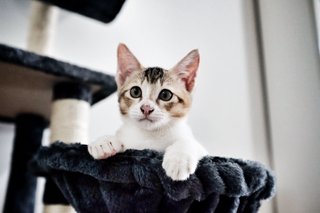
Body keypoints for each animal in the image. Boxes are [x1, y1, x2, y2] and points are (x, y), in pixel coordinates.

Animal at [87, 44, 208, 181]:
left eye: (166, 95)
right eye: (135, 92)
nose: (146, 108)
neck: (149, 135)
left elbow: (189, 142)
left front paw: (178, 160)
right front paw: (103, 142)